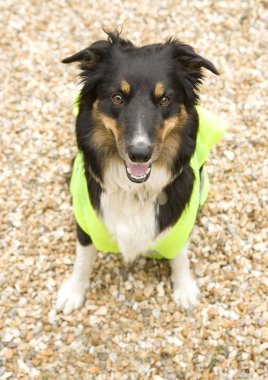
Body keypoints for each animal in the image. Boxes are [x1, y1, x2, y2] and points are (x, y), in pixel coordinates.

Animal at [57, 29, 226, 314]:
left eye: (165, 99)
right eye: (117, 98)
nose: (139, 153)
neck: (134, 189)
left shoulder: (180, 224)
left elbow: (180, 255)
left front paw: (184, 288)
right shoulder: (86, 221)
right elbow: (83, 258)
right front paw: (74, 291)